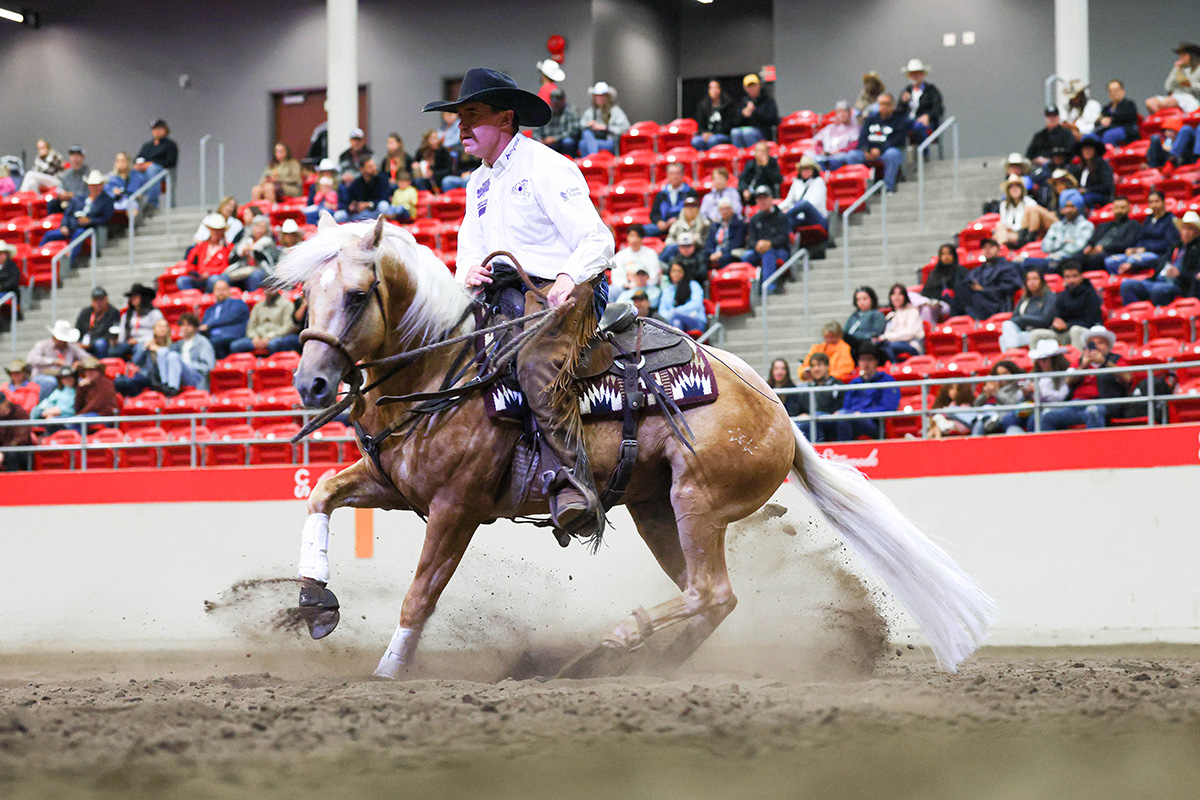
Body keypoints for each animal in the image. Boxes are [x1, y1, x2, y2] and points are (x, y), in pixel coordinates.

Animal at [279, 214, 998, 679]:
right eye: (306, 296)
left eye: (357, 295)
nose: (310, 382)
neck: (446, 370)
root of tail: (776, 412)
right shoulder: (393, 484)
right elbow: (321, 496)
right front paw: (314, 604)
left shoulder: (457, 507)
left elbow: (420, 593)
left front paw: (389, 669)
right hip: (657, 510)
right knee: (714, 598)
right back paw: (637, 659)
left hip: (696, 500)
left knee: (711, 591)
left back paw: (616, 640)